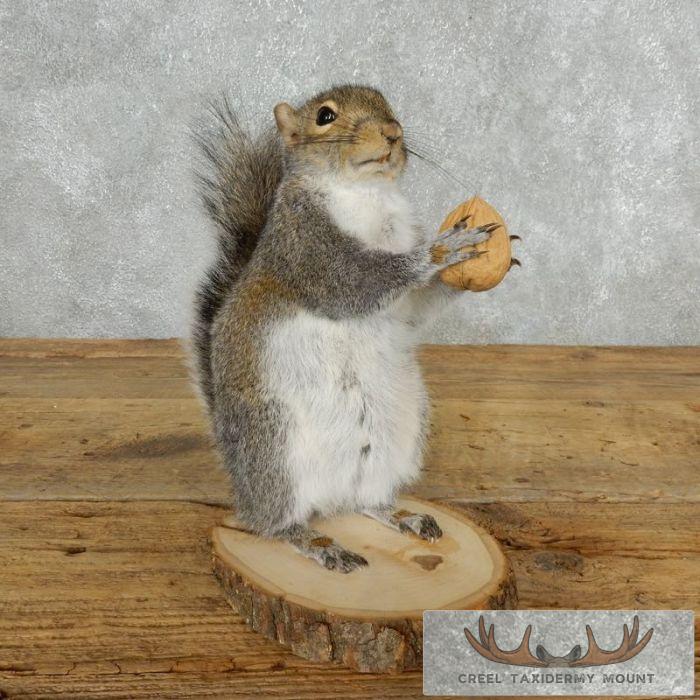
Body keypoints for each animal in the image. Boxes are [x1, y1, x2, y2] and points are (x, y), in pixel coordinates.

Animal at [192, 85, 496, 573]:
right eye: (325, 117)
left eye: (389, 105)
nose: (392, 132)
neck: (366, 194)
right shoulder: (306, 247)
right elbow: (357, 282)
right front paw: (445, 249)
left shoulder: (401, 300)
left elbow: (413, 309)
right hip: (274, 446)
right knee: (276, 524)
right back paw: (318, 544)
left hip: (398, 434)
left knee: (365, 501)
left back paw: (402, 515)